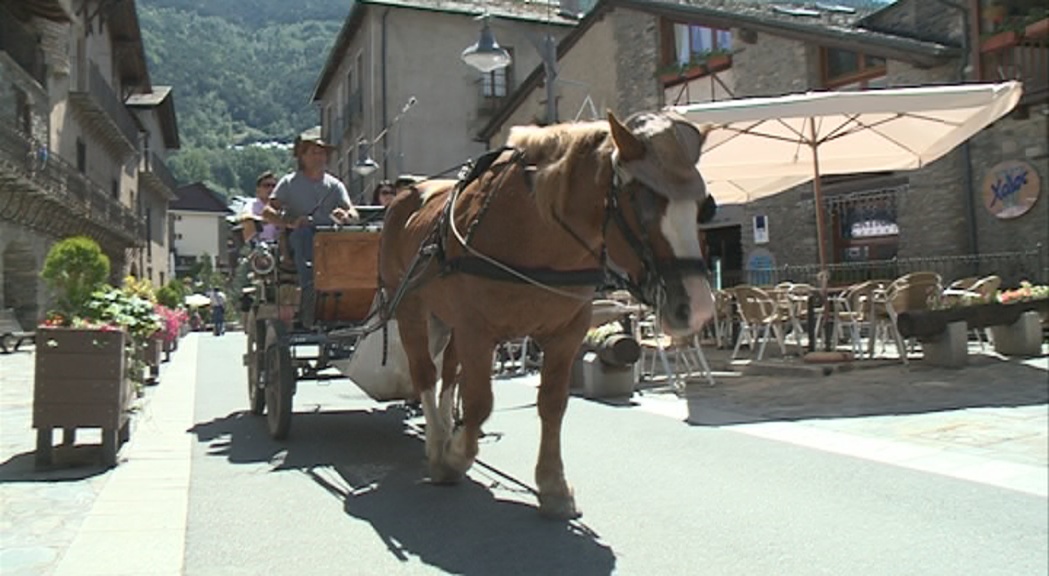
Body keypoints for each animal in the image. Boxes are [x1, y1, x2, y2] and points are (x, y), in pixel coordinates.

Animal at [381, 110, 717, 518]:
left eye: (703, 204)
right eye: (640, 199)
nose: (697, 305)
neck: (533, 232)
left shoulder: (565, 333)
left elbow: (553, 404)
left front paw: (552, 483)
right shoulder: (478, 331)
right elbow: (479, 402)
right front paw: (457, 456)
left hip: (448, 319)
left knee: (448, 373)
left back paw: (444, 430)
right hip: (410, 309)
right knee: (425, 374)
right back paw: (436, 443)